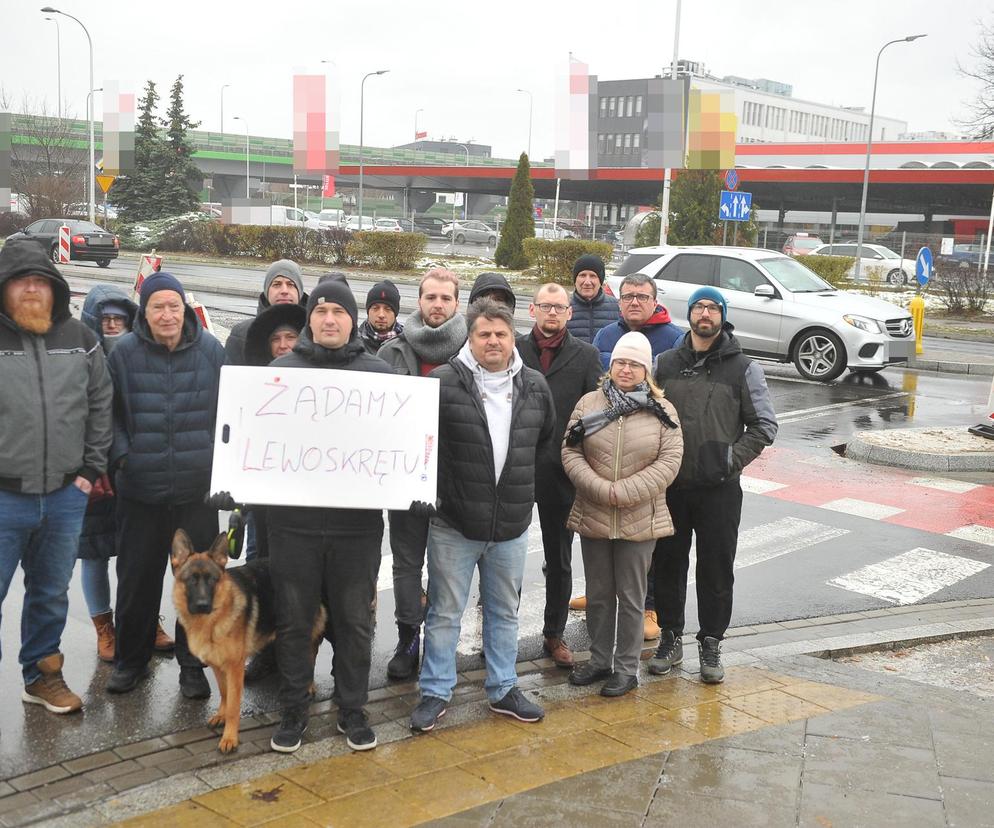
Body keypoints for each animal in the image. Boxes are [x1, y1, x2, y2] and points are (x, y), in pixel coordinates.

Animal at [170, 532, 326, 752]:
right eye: (191, 580)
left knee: (310, 655)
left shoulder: (235, 667)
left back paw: (308, 685)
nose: (203, 605)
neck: (212, 620)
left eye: (212, 580)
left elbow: (234, 705)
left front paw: (229, 737)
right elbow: (224, 693)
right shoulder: (218, 665)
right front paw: (221, 715)